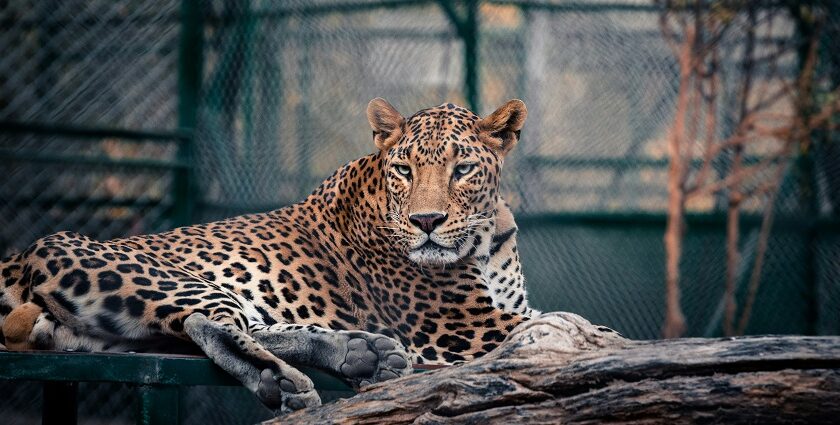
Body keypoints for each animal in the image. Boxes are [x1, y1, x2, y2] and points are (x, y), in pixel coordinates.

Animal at [0, 98, 540, 410]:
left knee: (214, 329)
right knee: (207, 324)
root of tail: (22, 255)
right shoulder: (463, 327)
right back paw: (283, 380)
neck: (487, 238)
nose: (426, 222)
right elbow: (559, 321)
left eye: (462, 169)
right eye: (404, 170)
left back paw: (362, 353)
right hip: (168, 278)